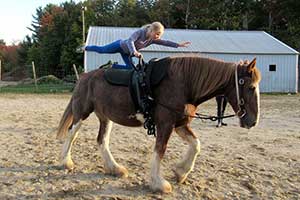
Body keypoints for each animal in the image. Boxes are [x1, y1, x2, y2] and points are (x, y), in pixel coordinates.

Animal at [55, 55, 260, 193]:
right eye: (251, 87)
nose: (253, 121)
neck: (184, 83)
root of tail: (84, 77)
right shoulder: (166, 125)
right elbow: (160, 150)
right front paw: (158, 183)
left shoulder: (180, 125)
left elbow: (196, 144)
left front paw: (180, 172)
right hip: (81, 114)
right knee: (72, 134)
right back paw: (66, 162)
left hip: (106, 118)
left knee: (101, 140)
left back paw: (115, 169)